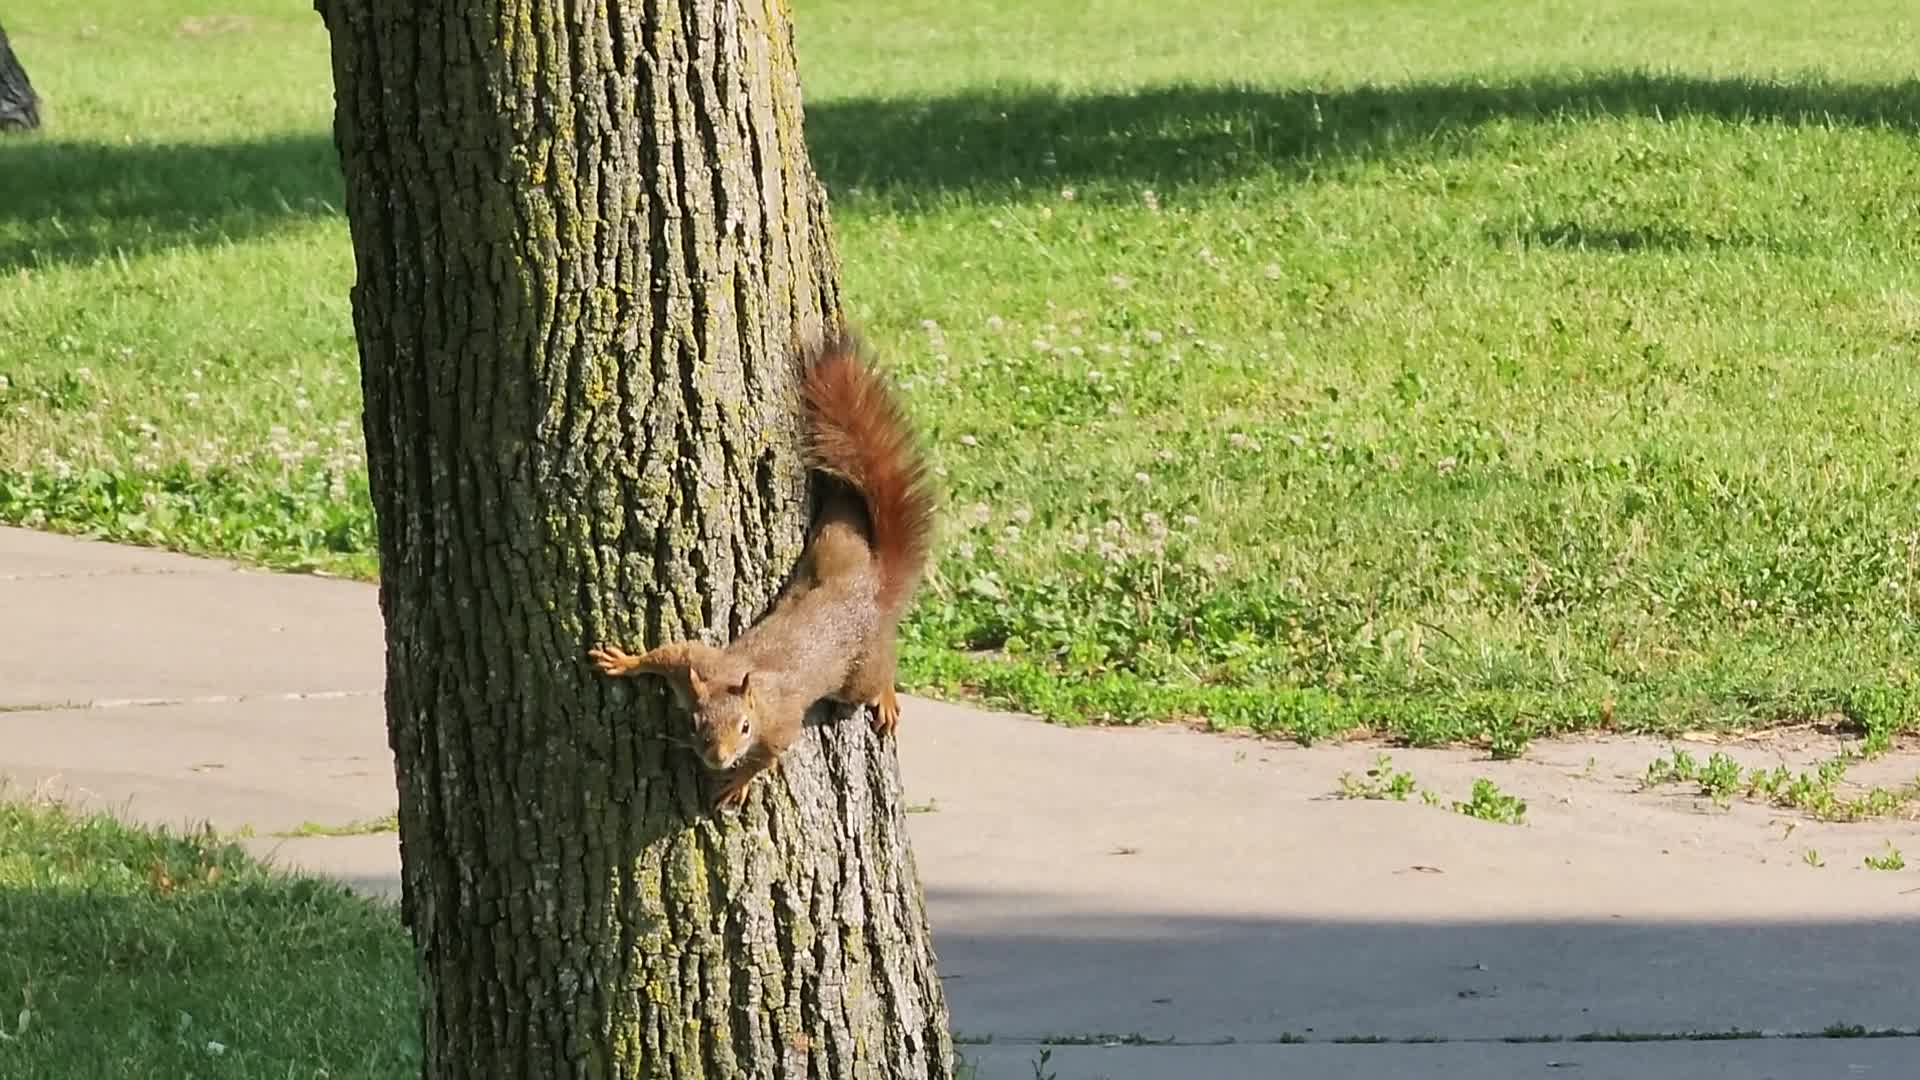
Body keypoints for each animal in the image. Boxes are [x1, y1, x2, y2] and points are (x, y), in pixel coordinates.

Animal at [588, 333, 937, 811]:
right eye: (695, 724)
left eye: (745, 728)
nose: (717, 759)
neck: (736, 685)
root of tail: (872, 589)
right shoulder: (699, 664)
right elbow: (672, 653)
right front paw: (624, 660)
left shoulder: (779, 727)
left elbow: (769, 756)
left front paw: (738, 780)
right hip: (835, 544)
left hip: (858, 672)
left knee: (876, 677)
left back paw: (885, 698)